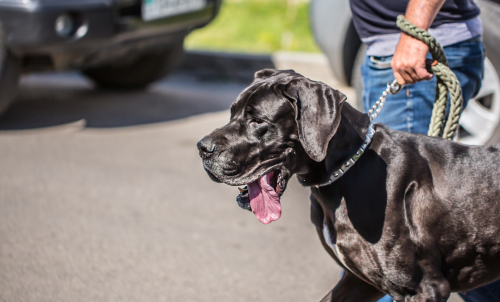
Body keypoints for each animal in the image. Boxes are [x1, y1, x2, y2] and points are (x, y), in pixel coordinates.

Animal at [195, 69, 500, 300]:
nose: (202, 148)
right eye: (232, 113)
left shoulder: (424, 288)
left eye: (257, 120)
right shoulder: (359, 282)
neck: (346, 170)